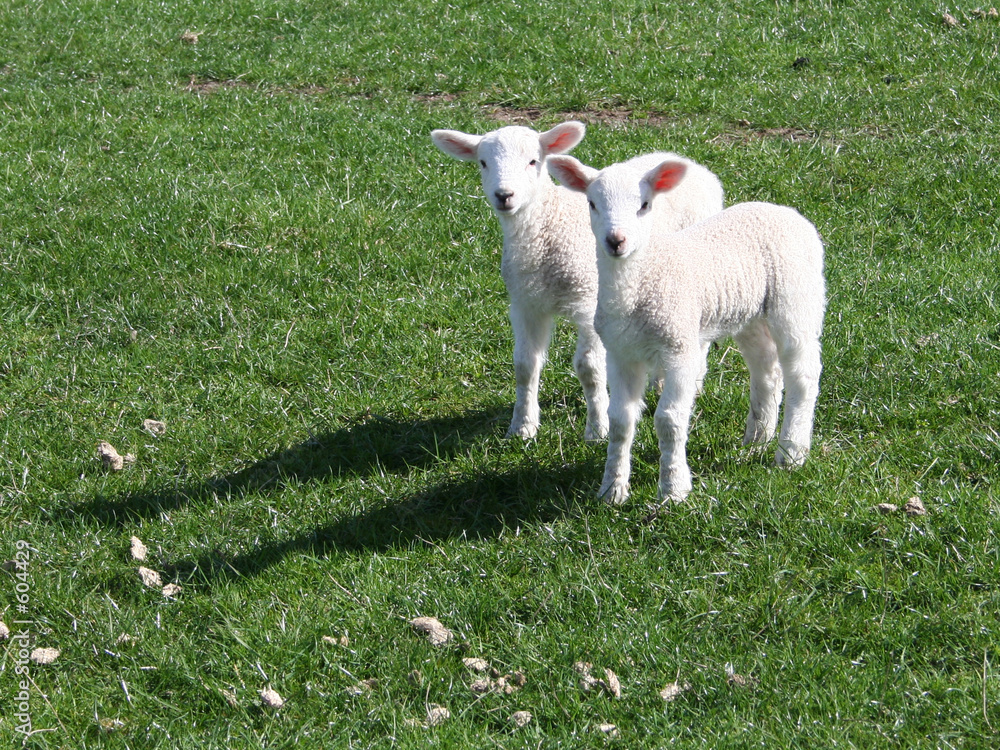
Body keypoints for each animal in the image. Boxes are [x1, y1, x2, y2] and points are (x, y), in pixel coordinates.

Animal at [432, 123, 725, 442]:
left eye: (533, 161)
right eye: (483, 163)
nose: (504, 195)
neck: (545, 230)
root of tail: (693, 165)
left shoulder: (588, 302)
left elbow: (589, 368)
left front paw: (597, 428)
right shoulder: (525, 303)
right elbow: (524, 365)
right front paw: (522, 427)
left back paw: (692, 382)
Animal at [546, 153, 825, 504]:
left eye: (645, 204)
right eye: (592, 203)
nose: (616, 241)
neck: (640, 282)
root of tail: (788, 213)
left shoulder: (679, 349)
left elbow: (669, 420)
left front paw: (674, 489)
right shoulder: (622, 353)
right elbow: (620, 420)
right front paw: (612, 490)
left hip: (796, 298)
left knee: (803, 375)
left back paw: (791, 452)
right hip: (750, 313)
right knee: (766, 369)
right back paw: (757, 438)